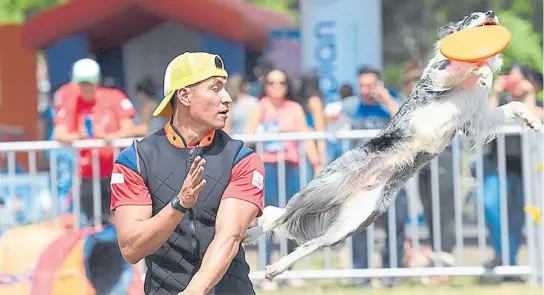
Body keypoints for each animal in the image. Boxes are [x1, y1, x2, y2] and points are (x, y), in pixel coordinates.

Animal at [244, 10, 540, 280]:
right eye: (472, 16)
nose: (491, 12)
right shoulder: (438, 82)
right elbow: (464, 68)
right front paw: (482, 72)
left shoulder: (475, 119)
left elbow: (514, 104)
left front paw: (533, 120)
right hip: (318, 190)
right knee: (279, 214)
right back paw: (250, 236)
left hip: (353, 222)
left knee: (312, 242)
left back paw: (275, 268)